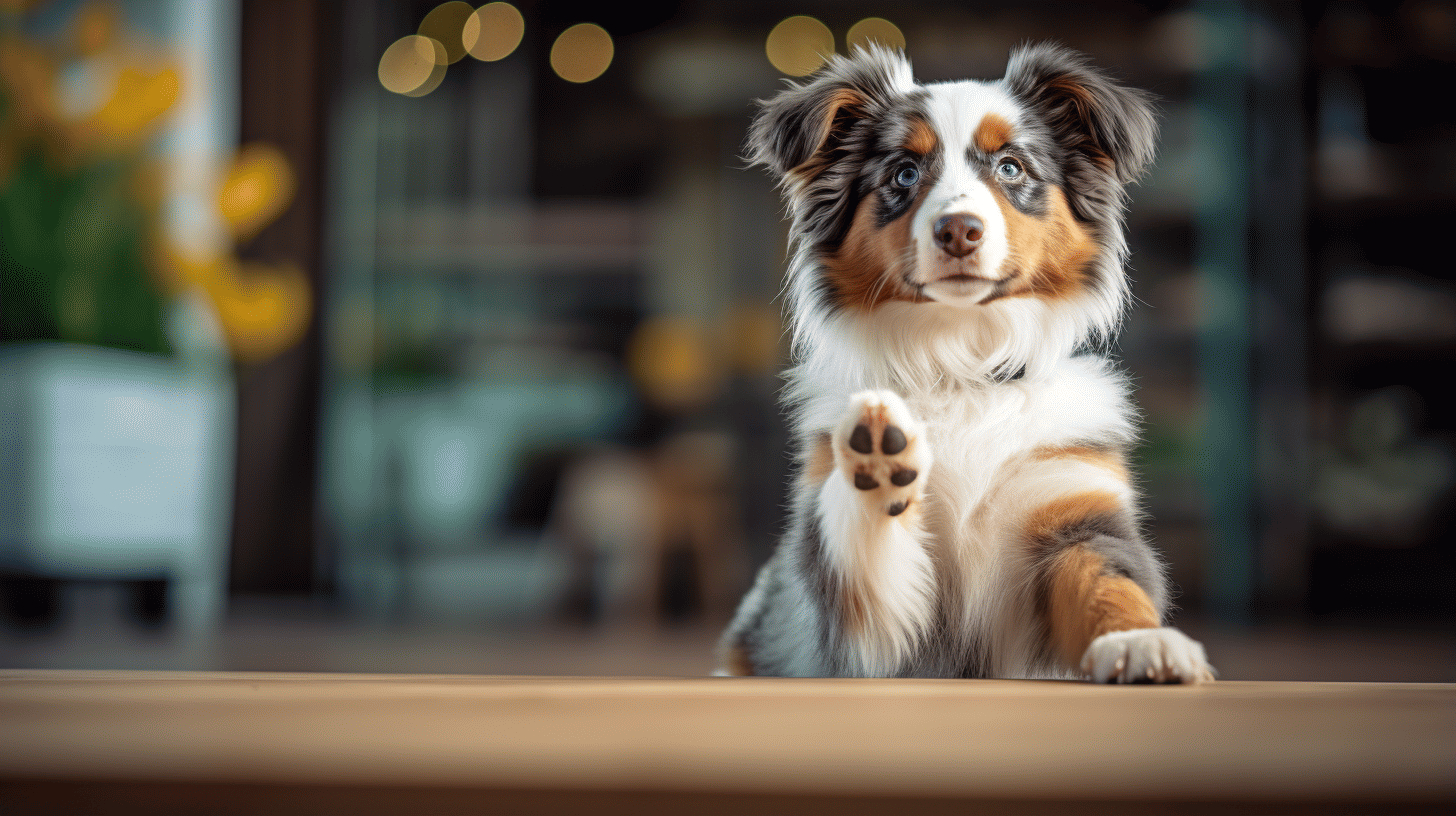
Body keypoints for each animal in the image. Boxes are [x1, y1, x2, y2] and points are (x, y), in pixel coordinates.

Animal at [719, 44, 1217, 681]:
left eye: (1010, 168)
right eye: (904, 173)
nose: (958, 229)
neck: (962, 367)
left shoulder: (1073, 508)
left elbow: (1108, 580)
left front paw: (1142, 642)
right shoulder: (856, 636)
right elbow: (859, 568)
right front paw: (876, 457)